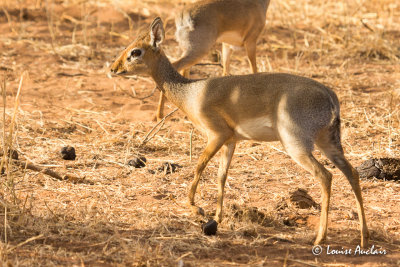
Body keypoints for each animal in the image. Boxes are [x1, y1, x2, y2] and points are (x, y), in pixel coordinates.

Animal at [111, 16, 370, 247]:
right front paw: (217, 217)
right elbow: (221, 176)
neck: (192, 93)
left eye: (136, 51)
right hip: (329, 143)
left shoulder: (216, 136)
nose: (113, 68)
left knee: (325, 176)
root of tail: (330, 95)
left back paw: (320, 238)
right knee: (352, 173)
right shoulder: (230, 142)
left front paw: (197, 208)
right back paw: (364, 237)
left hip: (296, 146)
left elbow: (198, 167)